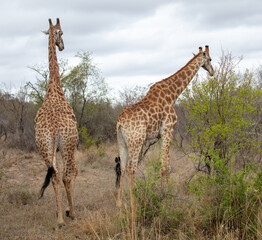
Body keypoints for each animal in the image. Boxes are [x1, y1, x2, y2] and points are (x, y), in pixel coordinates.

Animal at [114, 45, 213, 206]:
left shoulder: (161, 134)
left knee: (122, 168)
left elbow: (168, 165)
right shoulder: (168, 130)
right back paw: (134, 202)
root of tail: (119, 122)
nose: (212, 72)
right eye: (210, 59)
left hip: (121, 141)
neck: (173, 94)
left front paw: (167, 192)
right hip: (136, 141)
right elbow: (164, 167)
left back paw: (120, 204)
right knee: (131, 168)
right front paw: (165, 198)